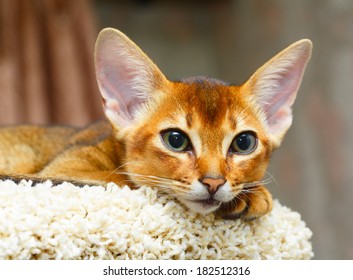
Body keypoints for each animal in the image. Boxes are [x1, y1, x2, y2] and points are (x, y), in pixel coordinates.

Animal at [0, 29, 310, 221]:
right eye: (175, 140)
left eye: (244, 143)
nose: (213, 182)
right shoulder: (66, 169)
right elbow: (127, 181)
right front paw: (254, 196)